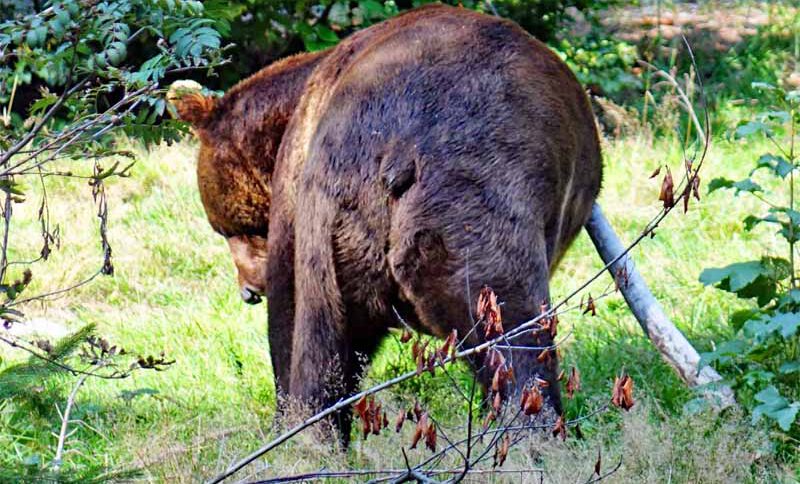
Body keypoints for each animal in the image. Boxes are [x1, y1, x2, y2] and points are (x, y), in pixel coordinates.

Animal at [172, 4, 602, 440]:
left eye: (233, 228)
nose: (248, 290)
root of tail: (395, 147)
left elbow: (290, 326)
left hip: (344, 229)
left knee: (326, 346)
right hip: (460, 201)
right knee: (511, 327)